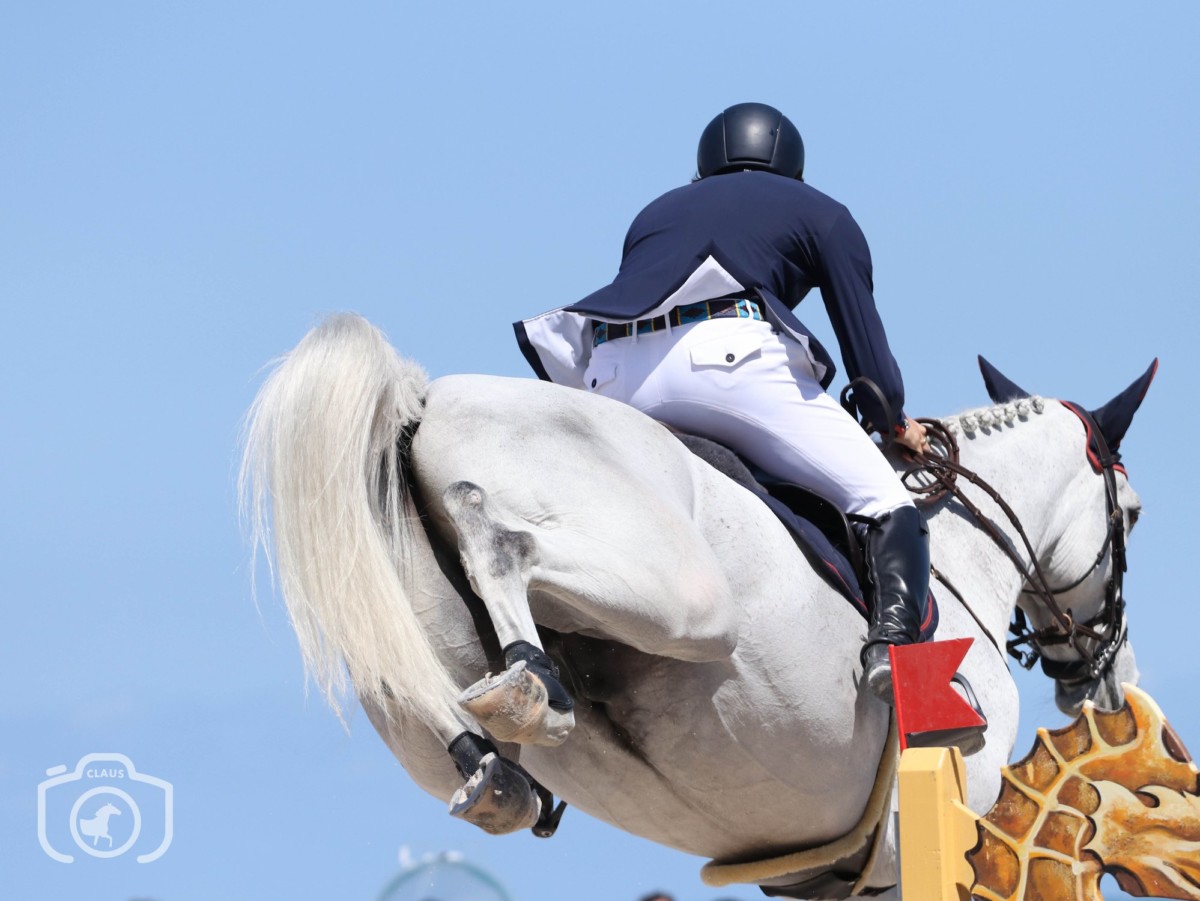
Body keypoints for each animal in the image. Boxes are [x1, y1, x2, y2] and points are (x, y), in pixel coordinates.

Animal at [241, 313, 1154, 898]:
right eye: (1135, 513)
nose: (1108, 678)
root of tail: (425, 404)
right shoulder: (950, 799)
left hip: (411, 660)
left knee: (418, 693)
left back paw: (500, 756)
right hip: (687, 596)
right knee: (502, 544)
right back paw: (531, 683)